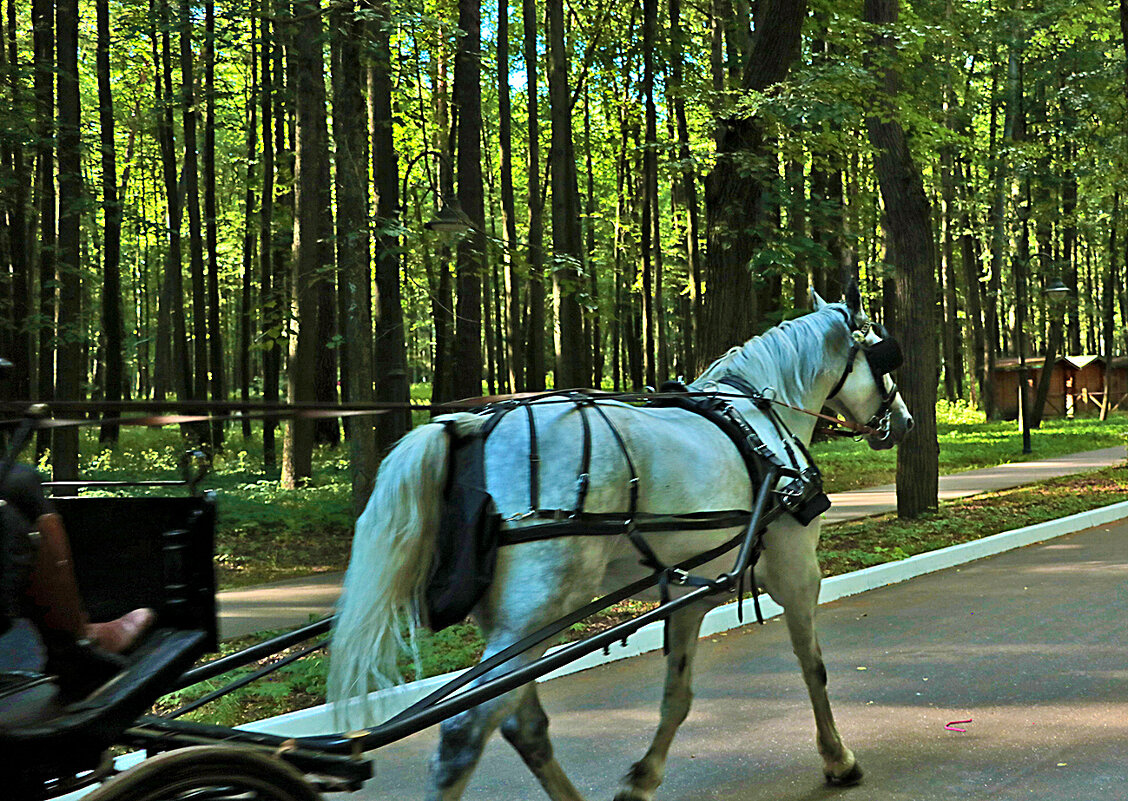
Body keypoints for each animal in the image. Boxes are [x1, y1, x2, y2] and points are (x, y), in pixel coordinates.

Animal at [329, 288, 911, 801]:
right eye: (882, 356)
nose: (903, 422)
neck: (757, 421)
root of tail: (472, 426)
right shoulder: (795, 570)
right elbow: (813, 666)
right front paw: (838, 760)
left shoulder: (690, 594)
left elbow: (677, 696)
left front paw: (642, 779)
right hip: (538, 611)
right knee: (465, 733)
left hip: (514, 624)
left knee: (521, 722)